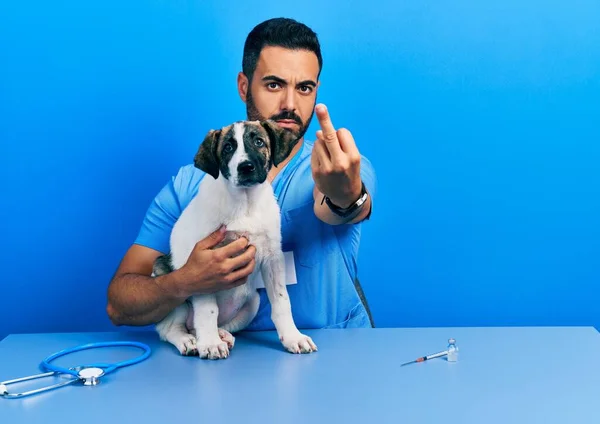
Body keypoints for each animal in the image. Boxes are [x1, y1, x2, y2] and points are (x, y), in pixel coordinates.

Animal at [152, 118, 316, 358]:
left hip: (252, 302)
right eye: (228, 148)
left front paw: (293, 337)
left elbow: (281, 301)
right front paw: (210, 343)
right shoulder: (203, 266)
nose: (245, 167)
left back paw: (222, 335)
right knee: (170, 329)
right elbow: (207, 309)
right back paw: (190, 341)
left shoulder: (272, 257)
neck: (245, 203)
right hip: (171, 285)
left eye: (259, 142)